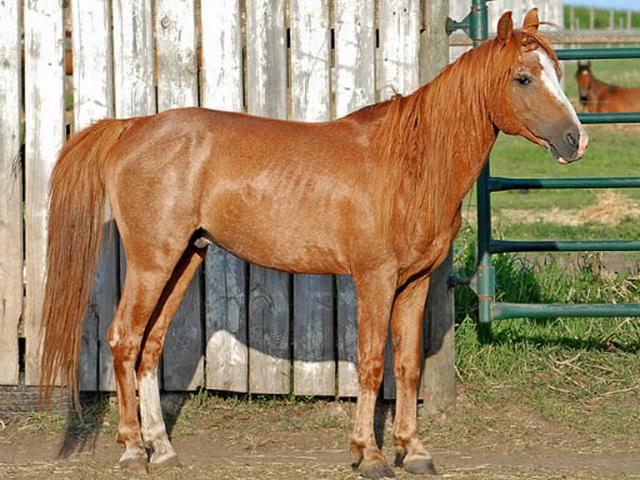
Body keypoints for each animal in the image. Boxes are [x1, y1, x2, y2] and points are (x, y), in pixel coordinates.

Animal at [39, 9, 587, 478]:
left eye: (558, 72)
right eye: (523, 78)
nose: (575, 141)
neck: (410, 165)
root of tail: (130, 128)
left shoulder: (414, 284)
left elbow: (407, 368)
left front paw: (413, 451)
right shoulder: (375, 279)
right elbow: (372, 365)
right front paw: (370, 455)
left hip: (185, 259)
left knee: (149, 347)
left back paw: (164, 448)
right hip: (152, 262)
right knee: (124, 339)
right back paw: (134, 449)